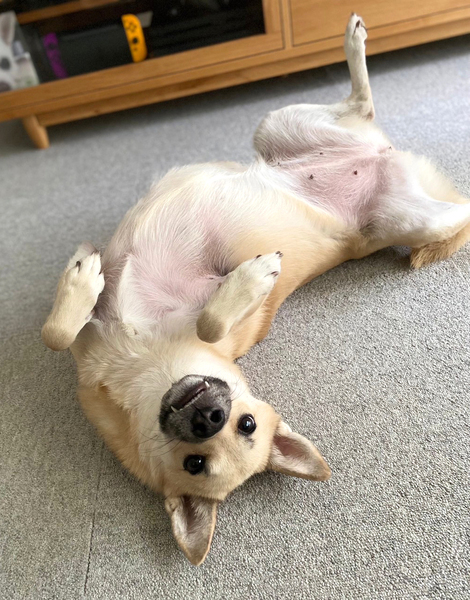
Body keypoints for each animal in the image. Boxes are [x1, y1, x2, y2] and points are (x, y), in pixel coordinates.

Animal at [42, 15, 470, 565]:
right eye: (196, 463)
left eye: (245, 425)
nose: (208, 416)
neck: (136, 359)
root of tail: (382, 158)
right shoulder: (85, 341)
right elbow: (57, 332)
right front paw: (81, 277)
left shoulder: (219, 327)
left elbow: (209, 319)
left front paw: (251, 277)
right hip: (319, 152)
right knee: (370, 114)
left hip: (384, 202)